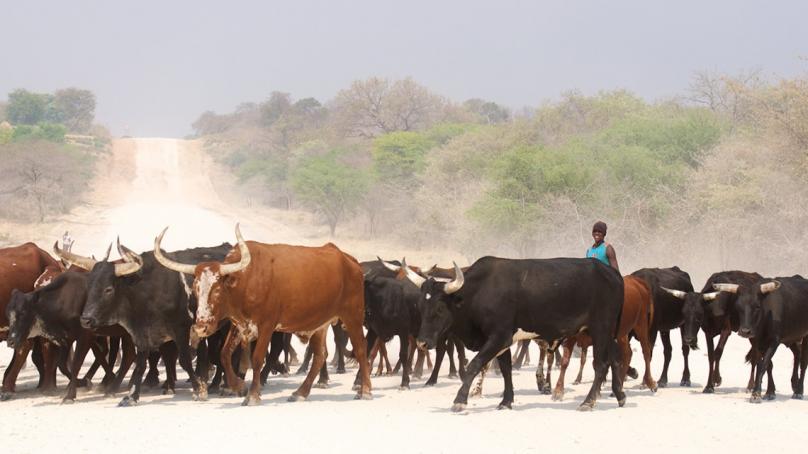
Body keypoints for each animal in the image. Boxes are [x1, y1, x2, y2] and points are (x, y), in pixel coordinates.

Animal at [152, 224, 372, 405]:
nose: (201, 326)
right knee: (319, 356)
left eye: (217, 289)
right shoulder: (239, 325)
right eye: (196, 289)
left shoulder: (266, 325)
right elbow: (224, 354)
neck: (247, 279)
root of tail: (349, 261)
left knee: (361, 349)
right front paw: (238, 386)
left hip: (353, 315)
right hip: (320, 324)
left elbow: (257, 358)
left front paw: (252, 395)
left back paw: (365, 390)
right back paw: (300, 393)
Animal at [405, 257, 625, 412]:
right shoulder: (501, 342)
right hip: (606, 332)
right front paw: (506, 401)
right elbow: (506, 369)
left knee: (601, 364)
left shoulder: (499, 337)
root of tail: (611, 272)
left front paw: (460, 400)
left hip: (601, 328)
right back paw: (620, 394)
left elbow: (474, 365)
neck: (480, 292)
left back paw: (588, 402)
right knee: (615, 357)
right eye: (421, 306)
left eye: (440, 308)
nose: (422, 343)